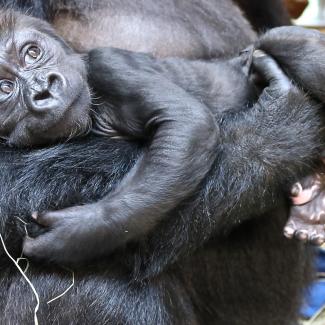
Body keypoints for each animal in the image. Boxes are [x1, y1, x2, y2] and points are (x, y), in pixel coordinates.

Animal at [0, 0, 316, 324]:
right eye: (4, 88)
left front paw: (77, 233)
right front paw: (282, 125)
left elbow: (189, 124)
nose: (43, 89)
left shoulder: (109, 64)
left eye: (32, 53)